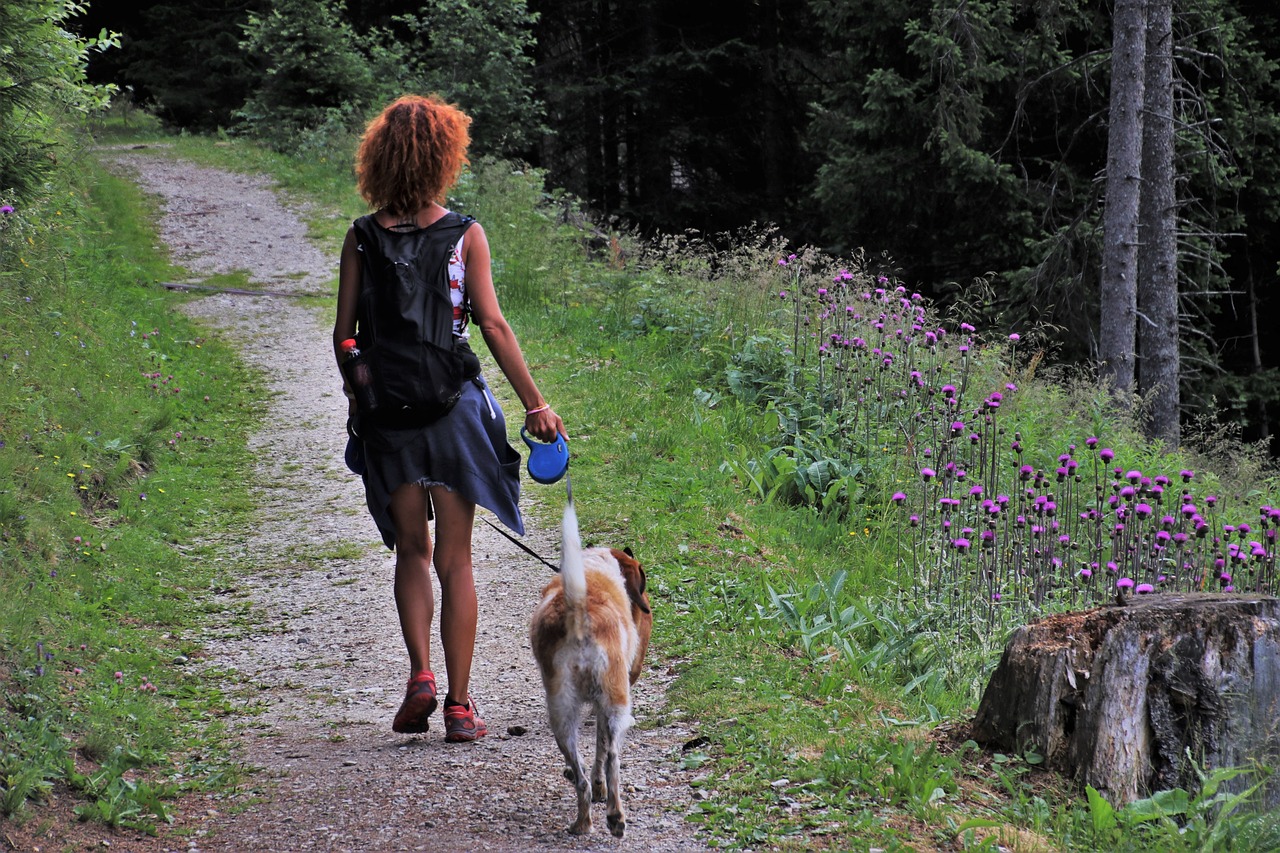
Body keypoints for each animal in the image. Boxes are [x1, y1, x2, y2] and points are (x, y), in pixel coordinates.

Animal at [527, 494, 650, 835]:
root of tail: (578, 613)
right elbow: (600, 749)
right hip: (615, 702)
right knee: (611, 759)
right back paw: (609, 815)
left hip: (562, 712)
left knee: (586, 773)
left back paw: (587, 821)